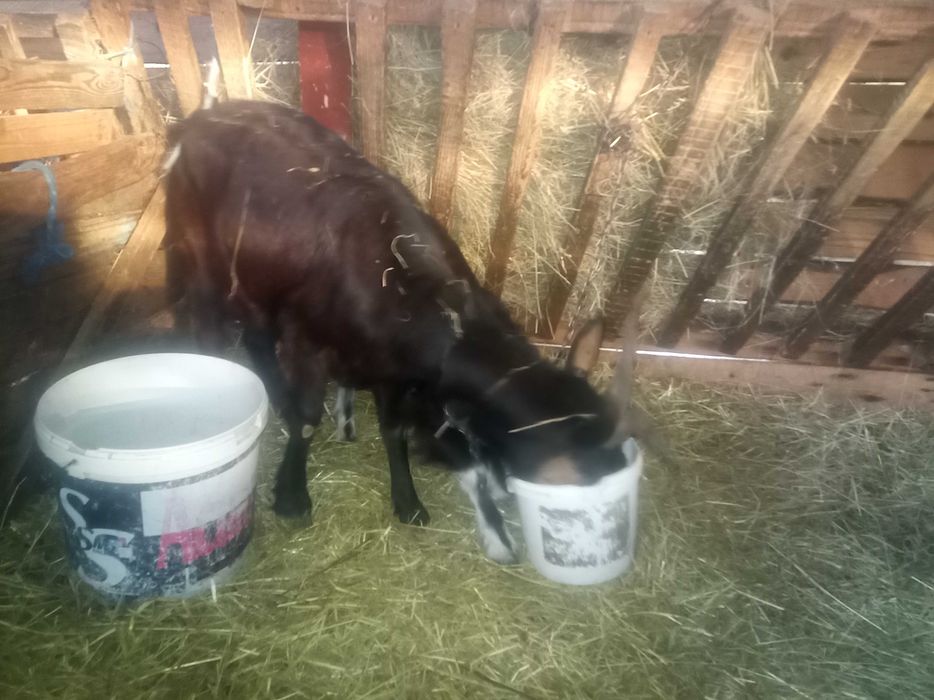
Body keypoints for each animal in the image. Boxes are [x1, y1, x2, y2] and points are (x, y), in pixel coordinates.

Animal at [163, 100, 641, 563]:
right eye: (584, 472)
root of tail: (197, 120)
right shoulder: (307, 343)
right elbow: (308, 421)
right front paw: (292, 495)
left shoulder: (394, 373)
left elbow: (394, 433)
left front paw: (408, 500)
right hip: (201, 261)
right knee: (212, 331)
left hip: (259, 277)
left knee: (257, 334)